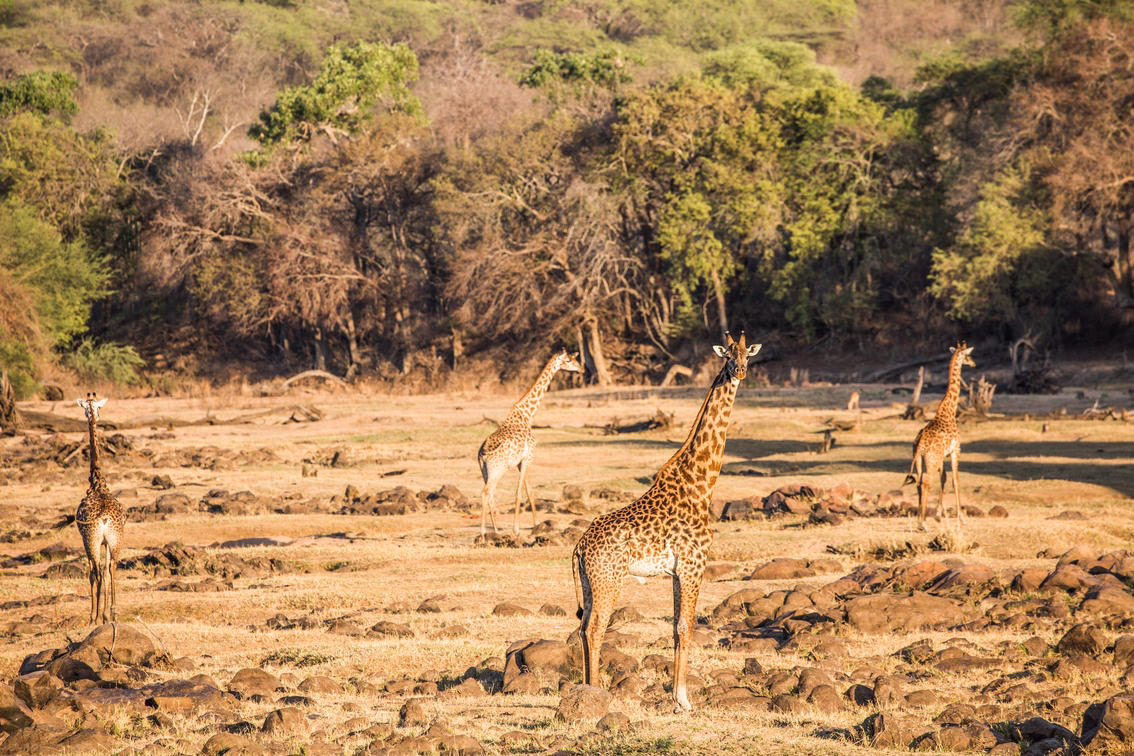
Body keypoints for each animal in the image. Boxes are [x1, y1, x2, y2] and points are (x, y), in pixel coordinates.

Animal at [478, 348, 583, 535]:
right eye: (569, 360)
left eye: (573, 358)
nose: (581, 369)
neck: (527, 415)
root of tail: (482, 454)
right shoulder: (529, 457)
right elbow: (519, 493)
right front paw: (517, 529)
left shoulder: (522, 461)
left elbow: (529, 491)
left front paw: (535, 524)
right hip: (498, 469)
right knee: (486, 493)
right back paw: (484, 532)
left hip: (485, 471)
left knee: (490, 495)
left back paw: (495, 530)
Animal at [571, 332, 761, 713]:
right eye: (727, 356)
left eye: (747, 355)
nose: (740, 372)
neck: (701, 484)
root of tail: (580, 547)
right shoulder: (694, 564)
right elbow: (686, 626)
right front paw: (683, 701)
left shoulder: (677, 571)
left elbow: (675, 627)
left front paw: (677, 696)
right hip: (609, 580)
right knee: (596, 627)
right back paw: (597, 693)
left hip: (589, 581)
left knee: (583, 627)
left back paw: (586, 687)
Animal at [903, 342, 976, 531]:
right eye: (968, 355)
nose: (974, 363)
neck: (949, 411)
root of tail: (920, 445)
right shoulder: (956, 450)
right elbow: (955, 480)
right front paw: (961, 519)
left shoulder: (944, 455)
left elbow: (944, 478)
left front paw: (938, 515)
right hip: (931, 459)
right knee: (927, 482)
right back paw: (923, 523)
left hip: (919, 460)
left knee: (919, 483)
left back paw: (920, 521)